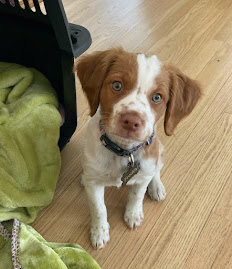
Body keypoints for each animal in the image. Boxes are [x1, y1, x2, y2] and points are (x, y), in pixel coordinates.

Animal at [74, 46, 201, 249]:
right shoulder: (94, 184)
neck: (123, 152)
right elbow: (98, 208)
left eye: (157, 97)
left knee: (157, 170)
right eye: (117, 85)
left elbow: (136, 194)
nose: (131, 120)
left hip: (158, 150)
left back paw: (156, 187)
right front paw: (99, 232)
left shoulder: (144, 171)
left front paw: (133, 214)